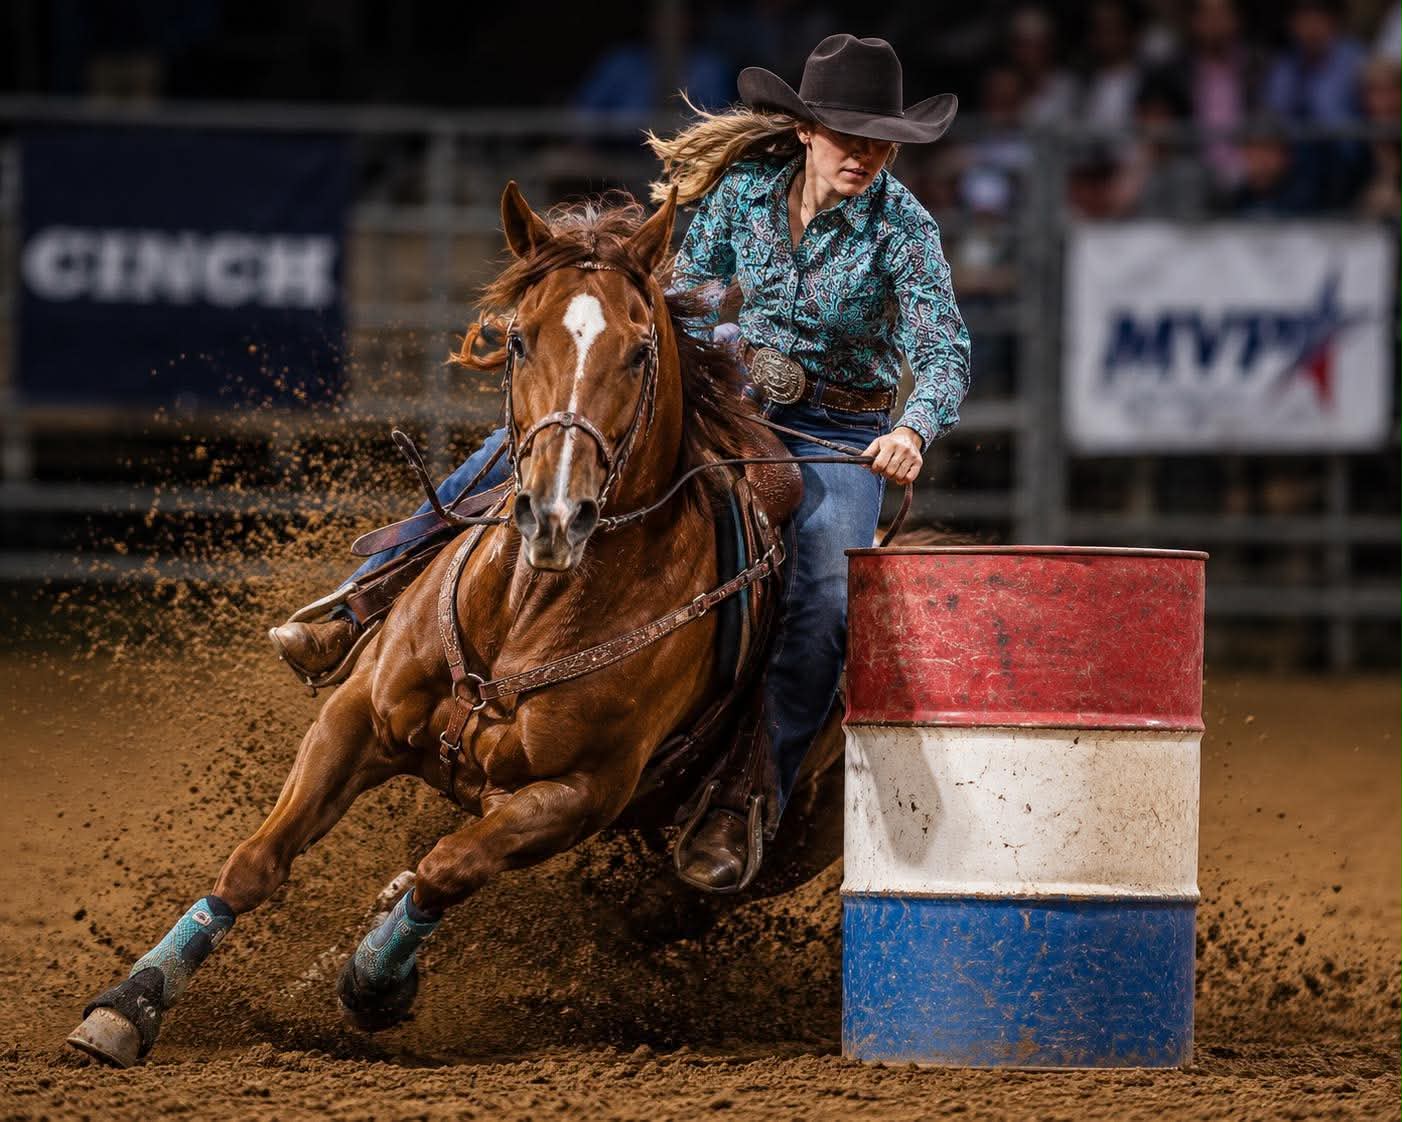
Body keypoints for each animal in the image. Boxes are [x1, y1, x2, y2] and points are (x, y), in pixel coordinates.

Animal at [66, 183, 847, 1068]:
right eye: (518, 339)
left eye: (640, 352)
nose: (556, 514)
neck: (527, 607)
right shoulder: (354, 718)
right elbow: (256, 861)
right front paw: (128, 1005)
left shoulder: (576, 796)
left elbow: (451, 869)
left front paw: (375, 981)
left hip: (774, 847)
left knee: (651, 910)